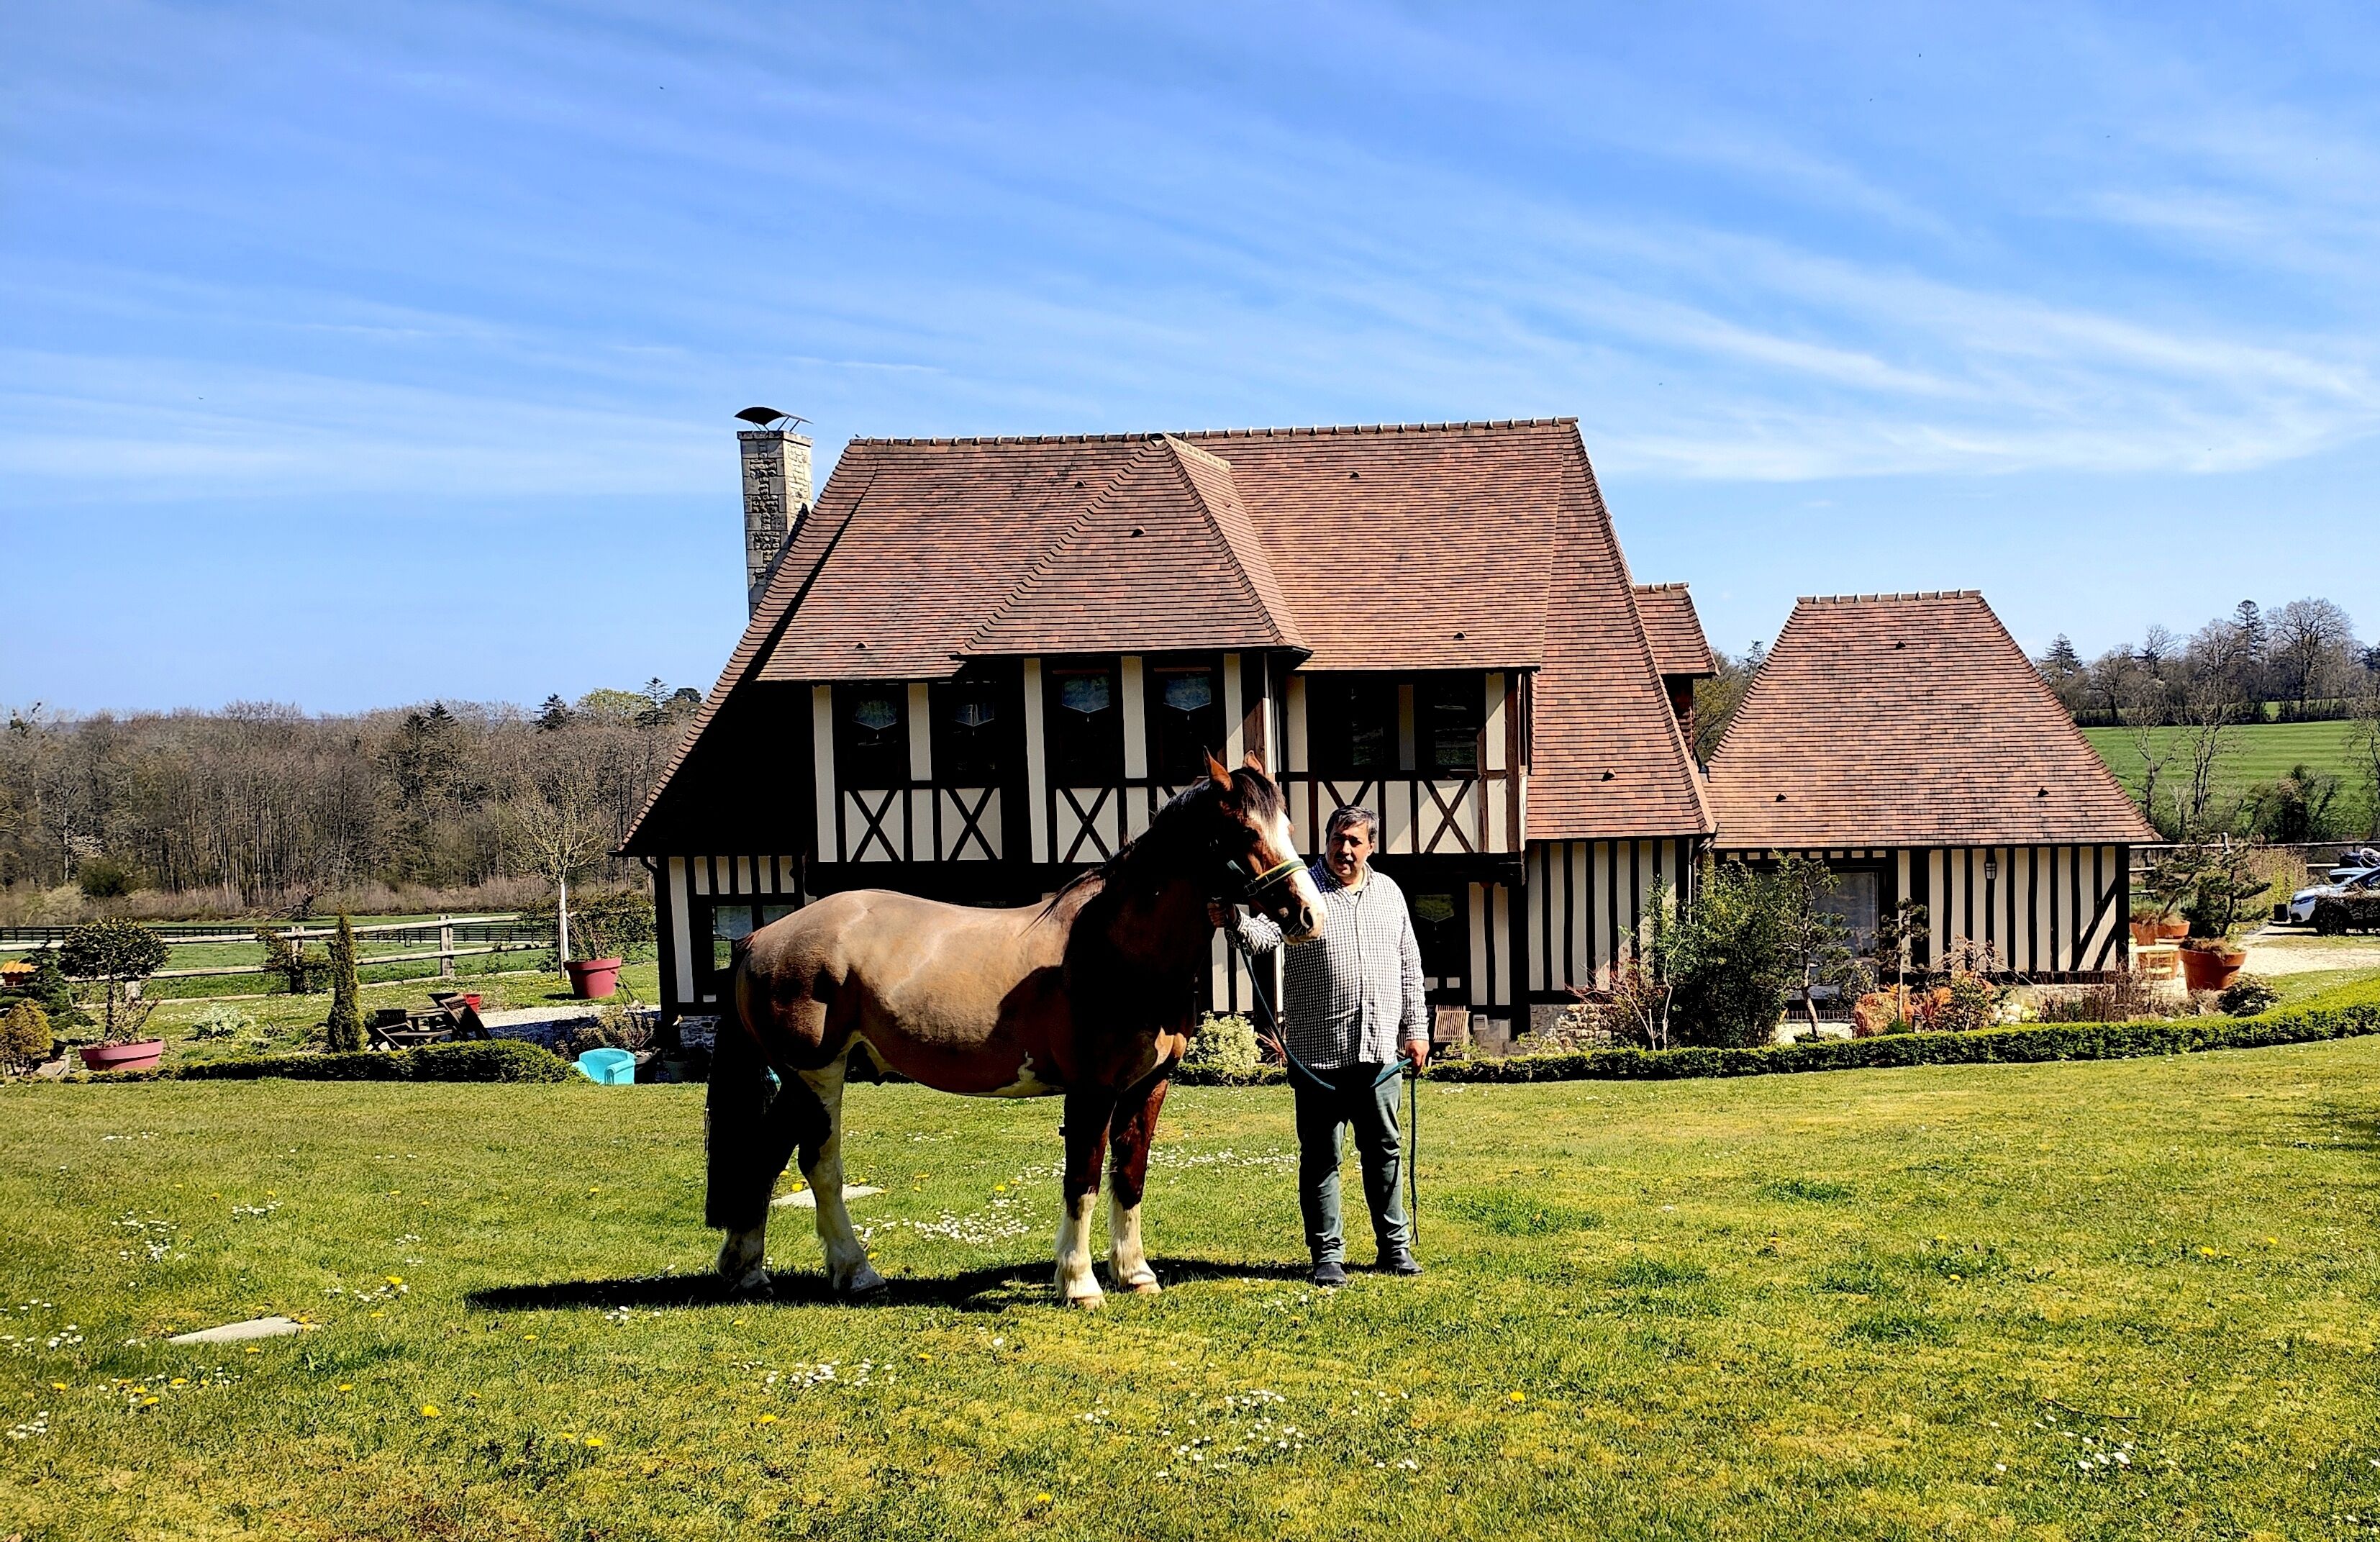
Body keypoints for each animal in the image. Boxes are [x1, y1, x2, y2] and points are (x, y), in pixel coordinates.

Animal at [707, 750, 1324, 1308]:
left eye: (1289, 827)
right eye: (1244, 829)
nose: (1307, 915)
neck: (1116, 948)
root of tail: (760, 937)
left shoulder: (1150, 1085)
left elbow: (1130, 1174)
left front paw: (1135, 1274)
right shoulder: (1092, 1090)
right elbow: (1083, 1179)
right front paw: (1079, 1284)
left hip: (798, 1081)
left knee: (764, 1160)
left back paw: (750, 1273)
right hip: (817, 1075)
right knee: (820, 1166)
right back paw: (855, 1272)